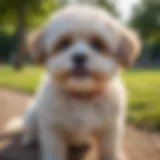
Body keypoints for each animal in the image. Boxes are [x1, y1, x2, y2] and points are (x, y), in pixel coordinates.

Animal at [23, 3, 141, 160]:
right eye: (63, 43)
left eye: (98, 44)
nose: (79, 57)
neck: (82, 95)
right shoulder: (53, 129)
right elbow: (53, 150)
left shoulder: (110, 128)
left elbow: (110, 149)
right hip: (32, 114)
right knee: (30, 128)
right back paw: (29, 139)